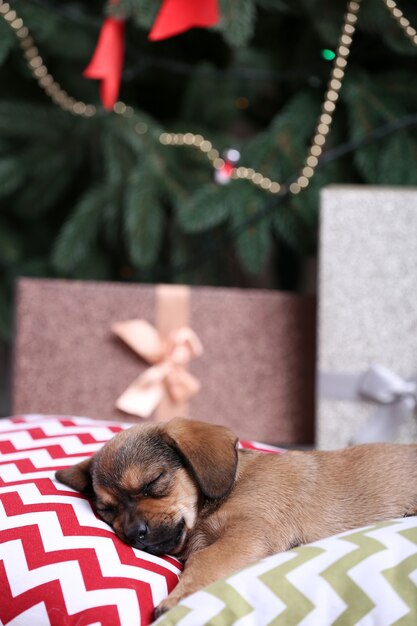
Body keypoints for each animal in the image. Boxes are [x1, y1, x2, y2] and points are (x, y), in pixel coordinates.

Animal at [55, 416, 416, 616]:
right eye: (107, 510)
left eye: (153, 482)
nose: (133, 534)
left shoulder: (248, 535)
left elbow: (204, 561)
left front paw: (177, 600)